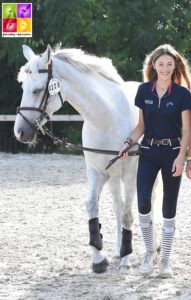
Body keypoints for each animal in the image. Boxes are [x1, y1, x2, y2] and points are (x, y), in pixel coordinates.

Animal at [14, 45, 159, 274]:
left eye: (37, 90)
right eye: (23, 87)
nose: (20, 132)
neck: (105, 118)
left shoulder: (130, 175)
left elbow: (129, 214)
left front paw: (126, 260)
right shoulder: (97, 172)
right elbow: (92, 208)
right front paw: (99, 259)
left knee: (148, 206)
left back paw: (152, 250)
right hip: (113, 178)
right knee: (118, 208)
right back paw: (118, 250)